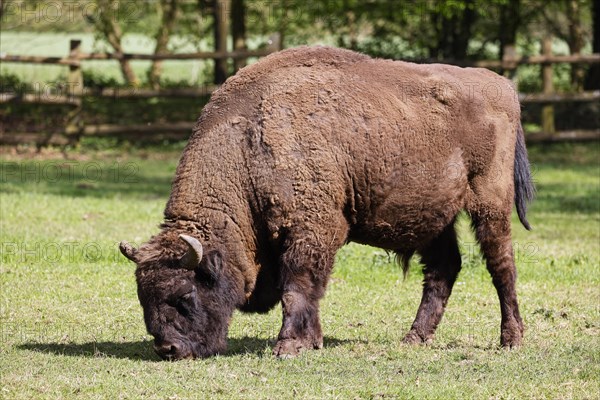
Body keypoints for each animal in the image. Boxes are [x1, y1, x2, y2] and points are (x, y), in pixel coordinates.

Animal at [117, 46, 536, 360]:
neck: (249, 143)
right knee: (443, 270)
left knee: (501, 266)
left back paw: (511, 339)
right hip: (434, 218)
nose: (169, 349)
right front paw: (312, 341)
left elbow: (298, 286)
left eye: (185, 294)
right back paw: (414, 338)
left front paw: (289, 346)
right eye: (142, 297)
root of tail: (502, 85)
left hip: (490, 204)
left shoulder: (311, 231)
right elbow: (308, 290)